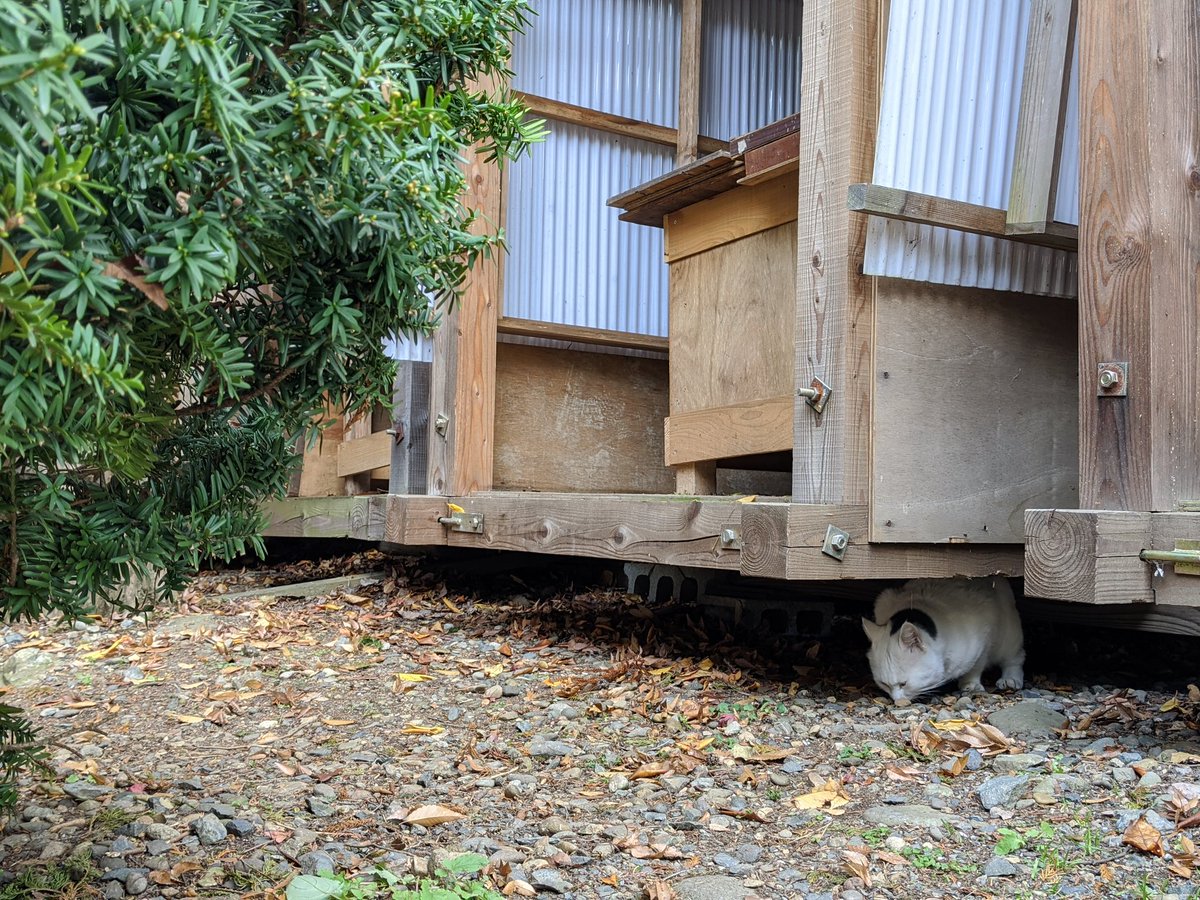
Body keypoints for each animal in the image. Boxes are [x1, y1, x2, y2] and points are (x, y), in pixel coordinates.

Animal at [862, 576, 1025, 704]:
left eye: (904, 683)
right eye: (884, 684)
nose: (897, 701)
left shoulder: (985, 636)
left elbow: (976, 665)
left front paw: (970, 683)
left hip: (1009, 636)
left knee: (1015, 658)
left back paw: (1010, 679)